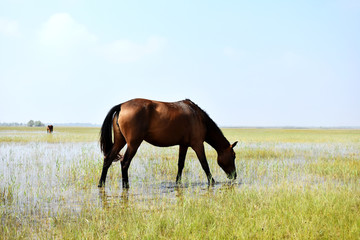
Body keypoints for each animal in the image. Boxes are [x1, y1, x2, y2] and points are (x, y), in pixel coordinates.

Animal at [98, 98, 238, 188]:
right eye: (234, 156)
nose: (234, 175)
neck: (197, 116)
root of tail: (121, 105)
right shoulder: (198, 144)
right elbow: (204, 164)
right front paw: (212, 181)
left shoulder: (183, 145)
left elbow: (180, 164)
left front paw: (178, 182)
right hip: (133, 144)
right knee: (125, 162)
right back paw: (126, 185)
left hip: (120, 141)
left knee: (108, 159)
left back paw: (101, 184)